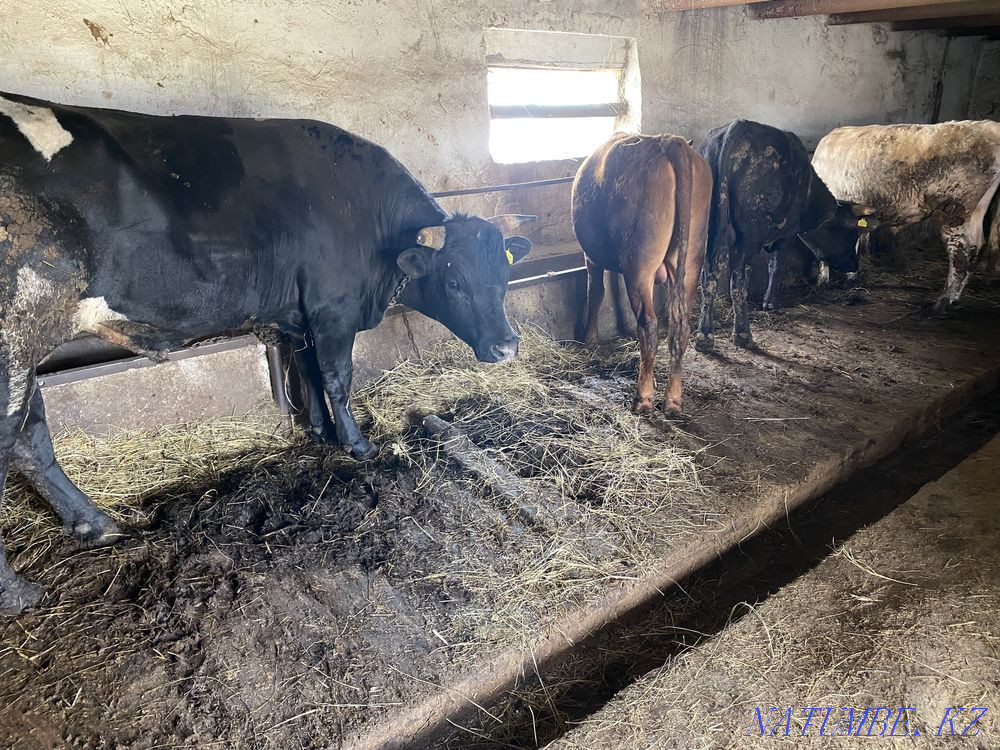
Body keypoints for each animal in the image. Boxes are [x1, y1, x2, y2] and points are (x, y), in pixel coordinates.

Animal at [0, 91, 533, 615]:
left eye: (504, 276)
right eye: (454, 281)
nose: (506, 346)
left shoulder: (296, 317)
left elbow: (308, 371)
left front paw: (318, 430)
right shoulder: (333, 309)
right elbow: (337, 377)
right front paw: (357, 445)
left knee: (33, 440)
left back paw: (94, 525)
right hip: (14, 340)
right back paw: (17, 593)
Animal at [572, 132, 711, 415]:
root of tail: (672, 143)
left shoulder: (591, 256)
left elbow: (595, 292)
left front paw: (590, 339)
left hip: (639, 262)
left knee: (648, 324)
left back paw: (643, 397)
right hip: (692, 260)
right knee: (680, 327)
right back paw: (673, 399)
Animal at [694, 120, 877, 353]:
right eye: (851, 234)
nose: (854, 264)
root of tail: (737, 126)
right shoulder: (787, 235)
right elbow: (775, 267)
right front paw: (770, 303)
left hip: (709, 231)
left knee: (708, 278)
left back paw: (704, 337)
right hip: (749, 237)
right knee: (737, 282)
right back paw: (743, 334)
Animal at [812, 120, 1000, 309]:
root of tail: (990, 126)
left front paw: (824, 281)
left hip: (957, 212)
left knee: (963, 251)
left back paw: (943, 301)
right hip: (976, 212)